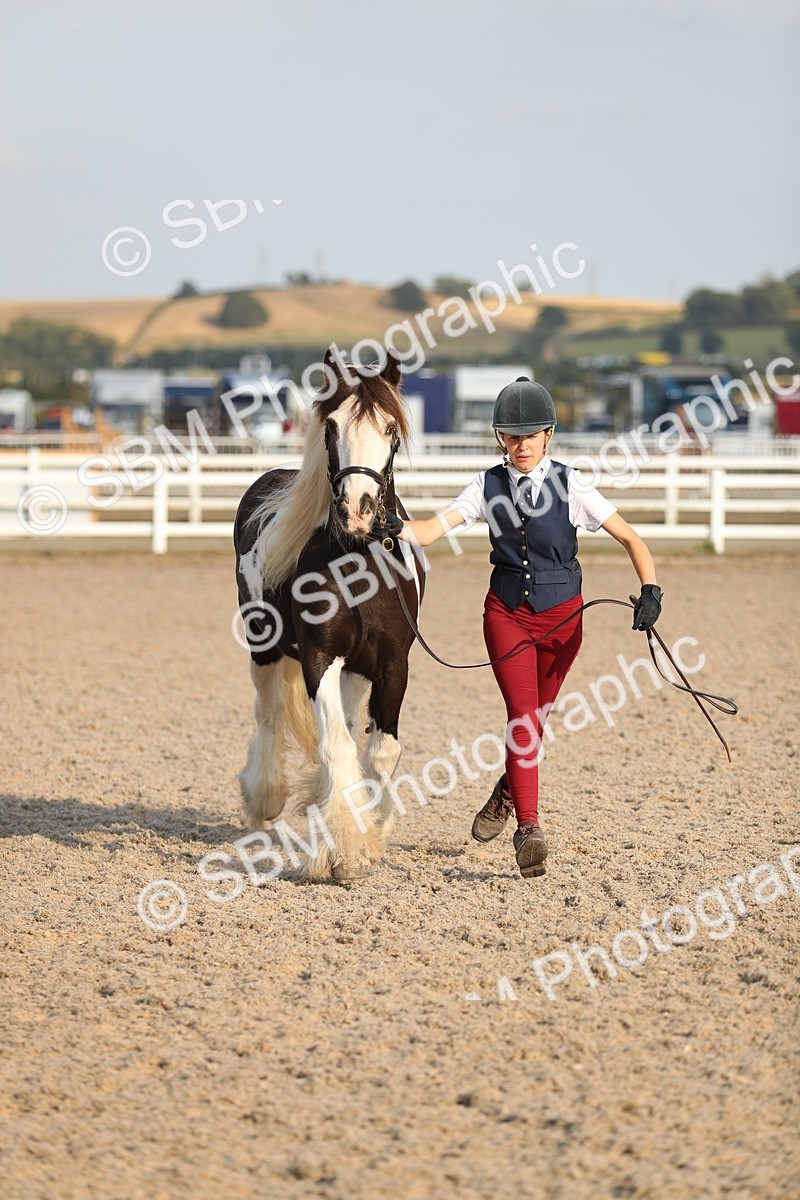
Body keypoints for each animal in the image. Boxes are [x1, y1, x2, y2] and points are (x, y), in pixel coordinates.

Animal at [233, 349, 425, 882]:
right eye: (332, 426)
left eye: (390, 429)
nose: (357, 509)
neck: (359, 565)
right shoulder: (318, 658)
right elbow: (335, 744)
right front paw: (341, 850)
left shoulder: (392, 664)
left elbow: (381, 751)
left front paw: (372, 834)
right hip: (264, 647)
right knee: (270, 712)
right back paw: (266, 797)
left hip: (356, 669)